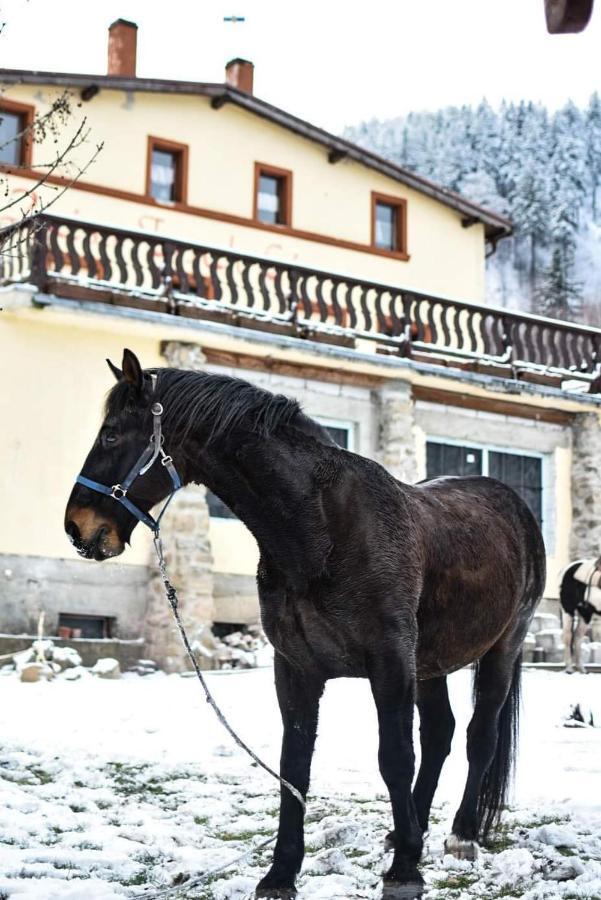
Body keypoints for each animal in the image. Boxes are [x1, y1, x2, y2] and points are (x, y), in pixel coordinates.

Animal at [64, 348, 544, 896]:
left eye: (112, 436)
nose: (78, 528)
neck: (322, 531)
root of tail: (514, 506)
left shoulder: (390, 664)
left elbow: (395, 758)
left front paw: (404, 871)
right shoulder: (296, 668)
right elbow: (294, 765)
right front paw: (282, 872)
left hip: (502, 648)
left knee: (478, 736)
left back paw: (460, 834)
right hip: (433, 663)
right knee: (440, 734)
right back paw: (412, 830)